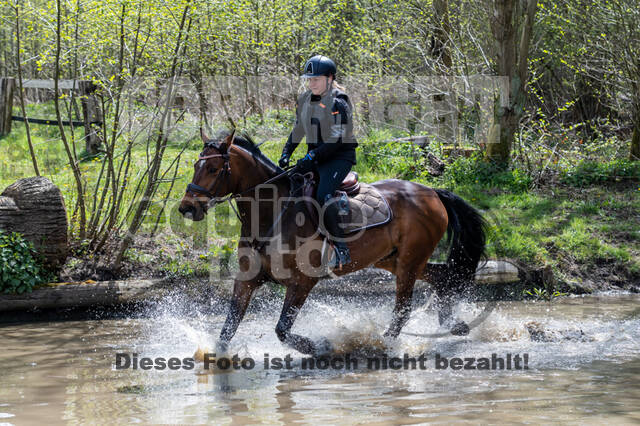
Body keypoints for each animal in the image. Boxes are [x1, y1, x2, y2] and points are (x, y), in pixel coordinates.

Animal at [176, 130, 484, 356]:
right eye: (195, 166)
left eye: (214, 168)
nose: (187, 208)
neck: (271, 214)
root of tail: (432, 192)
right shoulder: (247, 280)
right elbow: (228, 329)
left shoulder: (302, 282)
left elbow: (282, 330)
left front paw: (317, 346)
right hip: (394, 260)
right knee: (442, 277)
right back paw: (455, 325)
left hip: (409, 261)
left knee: (403, 308)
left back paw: (381, 344)